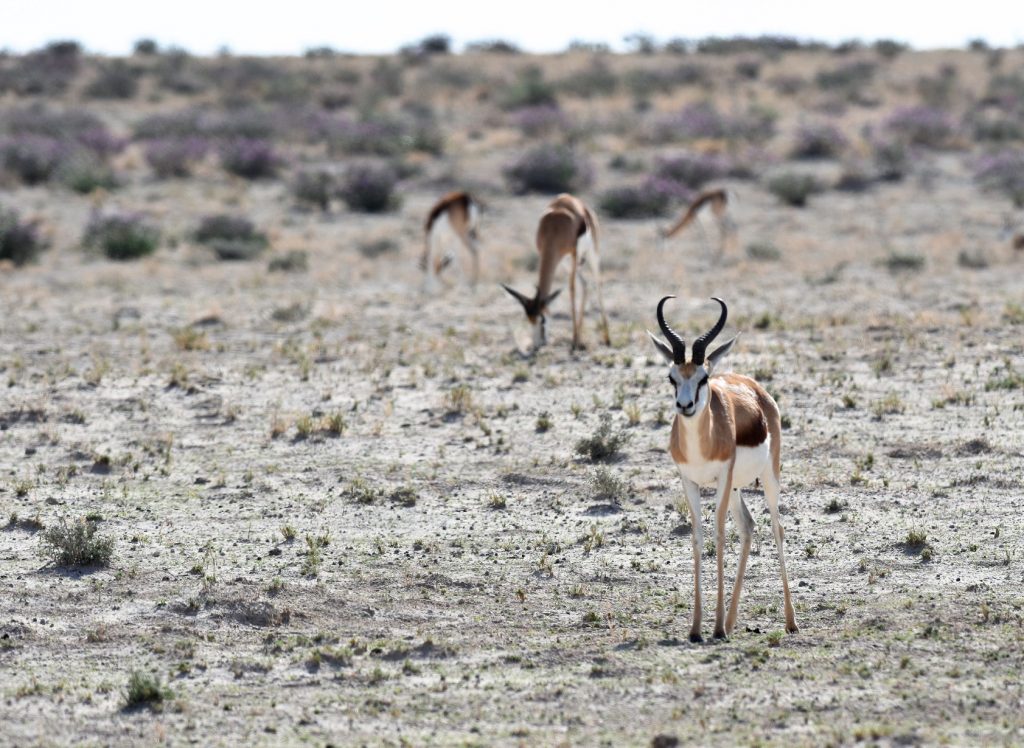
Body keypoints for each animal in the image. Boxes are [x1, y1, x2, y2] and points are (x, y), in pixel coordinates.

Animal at [501, 192, 606, 350]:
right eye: (529, 320)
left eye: (542, 319)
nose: (538, 345)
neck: (554, 227)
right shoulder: (547, 253)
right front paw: (576, 340)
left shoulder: (574, 253)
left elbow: (572, 289)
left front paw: (574, 343)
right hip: (567, 262)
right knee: (585, 284)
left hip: (590, 254)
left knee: (597, 284)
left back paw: (606, 338)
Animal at [647, 295, 798, 639]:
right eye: (672, 378)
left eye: (702, 378)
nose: (685, 406)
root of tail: (754, 387)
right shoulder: (689, 481)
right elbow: (698, 537)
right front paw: (697, 628)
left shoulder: (721, 477)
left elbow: (718, 534)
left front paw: (714, 628)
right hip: (737, 487)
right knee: (748, 526)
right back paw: (730, 621)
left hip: (767, 477)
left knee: (776, 528)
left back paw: (790, 621)